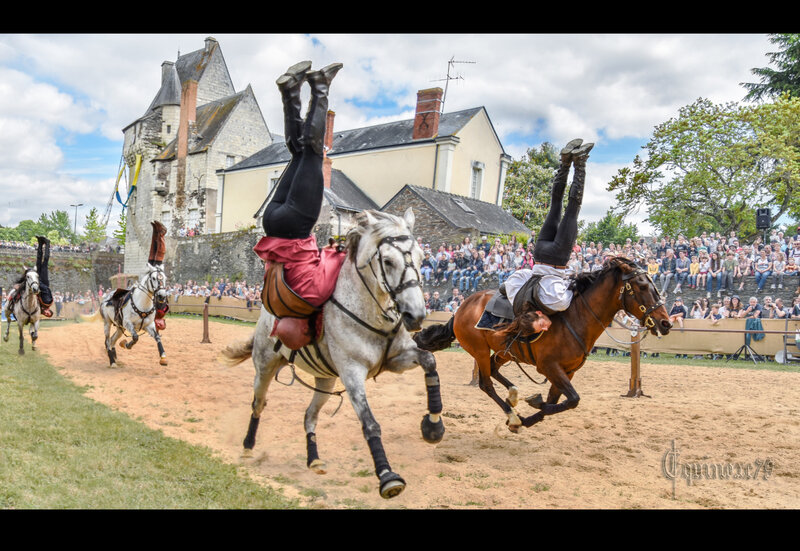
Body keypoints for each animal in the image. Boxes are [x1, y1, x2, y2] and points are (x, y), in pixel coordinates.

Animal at [416, 256, 672, 434]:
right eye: (642, 286)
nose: (665, 323)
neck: (576, 317)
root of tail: (462, 307)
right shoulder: (550, 367)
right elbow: (571, 400)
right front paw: (527, 411)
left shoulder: (567, 371)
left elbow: (559, 402)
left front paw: (531, 414)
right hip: (478, 350)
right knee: (486, 383)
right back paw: (512, 414)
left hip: (504, 352)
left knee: (495, 370)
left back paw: (514, 396)